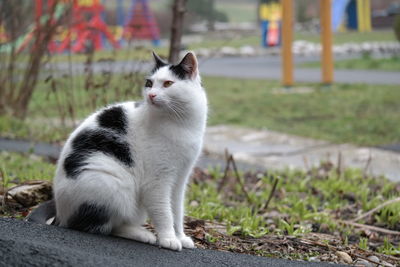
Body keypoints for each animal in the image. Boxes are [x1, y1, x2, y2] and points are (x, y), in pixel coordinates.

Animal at [27, 51, 209, 251]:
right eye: (149, 83)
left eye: (168, 83)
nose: (151, 95)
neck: (180, 123)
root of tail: (60, 214)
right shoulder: (157, 181)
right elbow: (164, 212)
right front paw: (169, 239)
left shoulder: (180, 179)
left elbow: (177, 211)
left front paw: (181, 237)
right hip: (112, 186)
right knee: (103, 227)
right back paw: (142, 234)